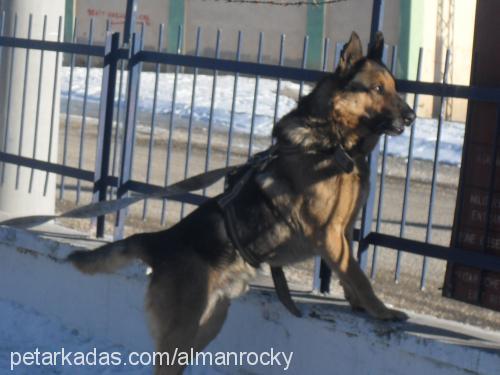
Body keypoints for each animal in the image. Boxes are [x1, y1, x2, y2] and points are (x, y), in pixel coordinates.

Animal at [68, 32, 416, 375]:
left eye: (395, 87)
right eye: (377, 88)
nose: (412, 116)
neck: (332, 144)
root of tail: (160, 240)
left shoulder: (343, 232)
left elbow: (349, 274)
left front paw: (359, 306)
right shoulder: (329, 233)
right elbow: (358, 275)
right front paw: (382, 311)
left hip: (208, 324)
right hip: (181, 333)